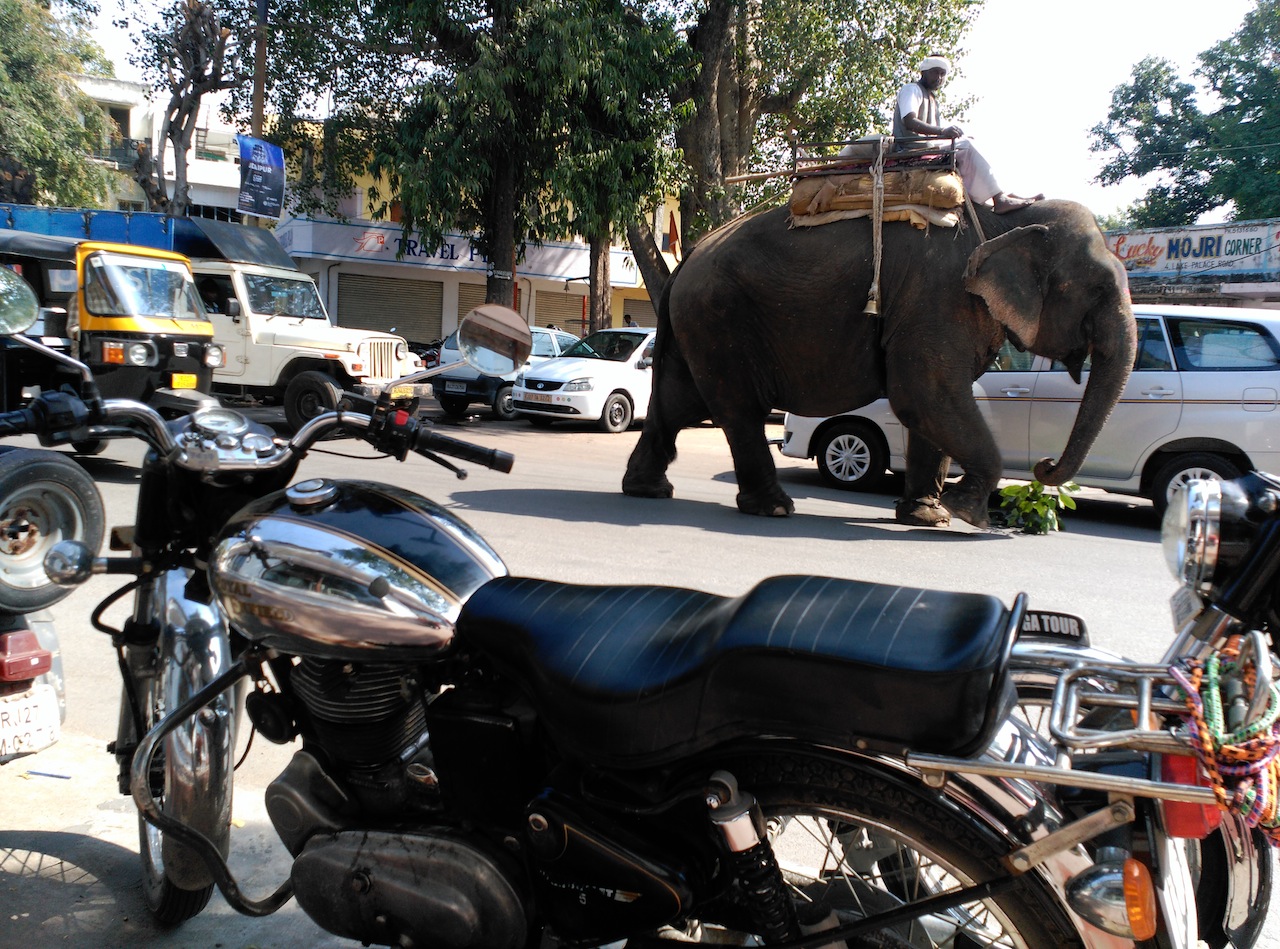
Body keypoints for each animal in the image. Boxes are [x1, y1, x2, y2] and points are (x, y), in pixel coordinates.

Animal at [624, 198, 1136, 525]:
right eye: (1097, 289)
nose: (1044, 466)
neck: (1004, 219)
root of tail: (687, 257)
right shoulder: (938, 297)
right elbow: (924, 392)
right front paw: (967, 514)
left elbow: (932, 404)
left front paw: (929, 517)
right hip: (720, 318)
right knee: (737, 408)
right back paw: (774, 508)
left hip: (698, 322)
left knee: (677, 402)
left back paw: (648, 491)